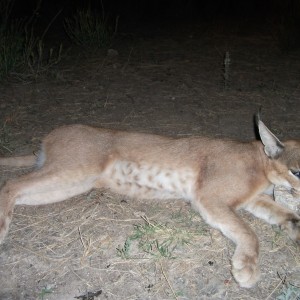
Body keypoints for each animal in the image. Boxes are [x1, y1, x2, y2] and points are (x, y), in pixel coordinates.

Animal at [0, 116, 298, 288]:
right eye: (296, 171)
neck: (260, 163)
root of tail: (51, 136)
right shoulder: (209, 197)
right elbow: (248, 231)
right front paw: (246, 268)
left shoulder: (250, 199)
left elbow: (279, 212)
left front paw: (292, 226)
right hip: (73, 170)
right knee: (10, 184)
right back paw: (1, 228)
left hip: (72, 183)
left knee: (19, 191)